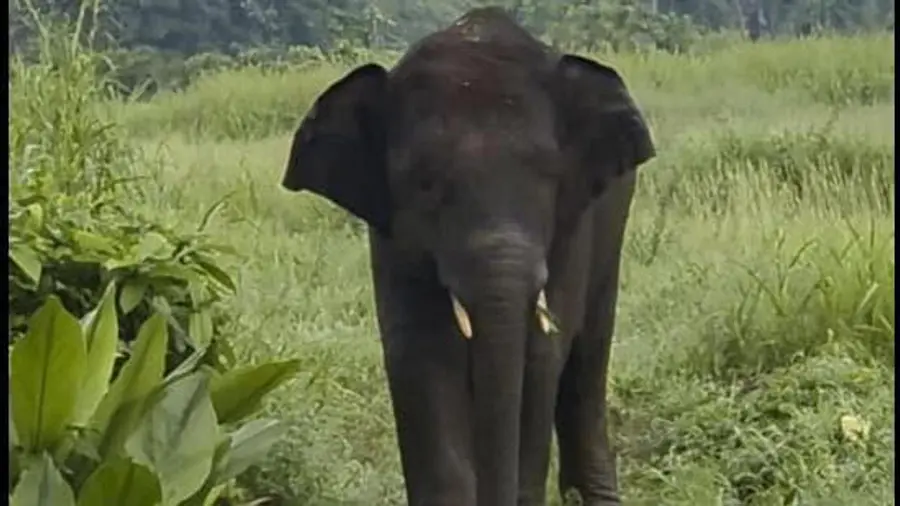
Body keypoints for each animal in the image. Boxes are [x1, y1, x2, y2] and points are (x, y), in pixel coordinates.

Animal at [280, 7, 655, 506]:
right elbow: (421, 357)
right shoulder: (394, 240)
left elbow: (540, 358)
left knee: (586, 366)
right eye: (424, 183)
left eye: (550, 176)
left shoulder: (571, 229)